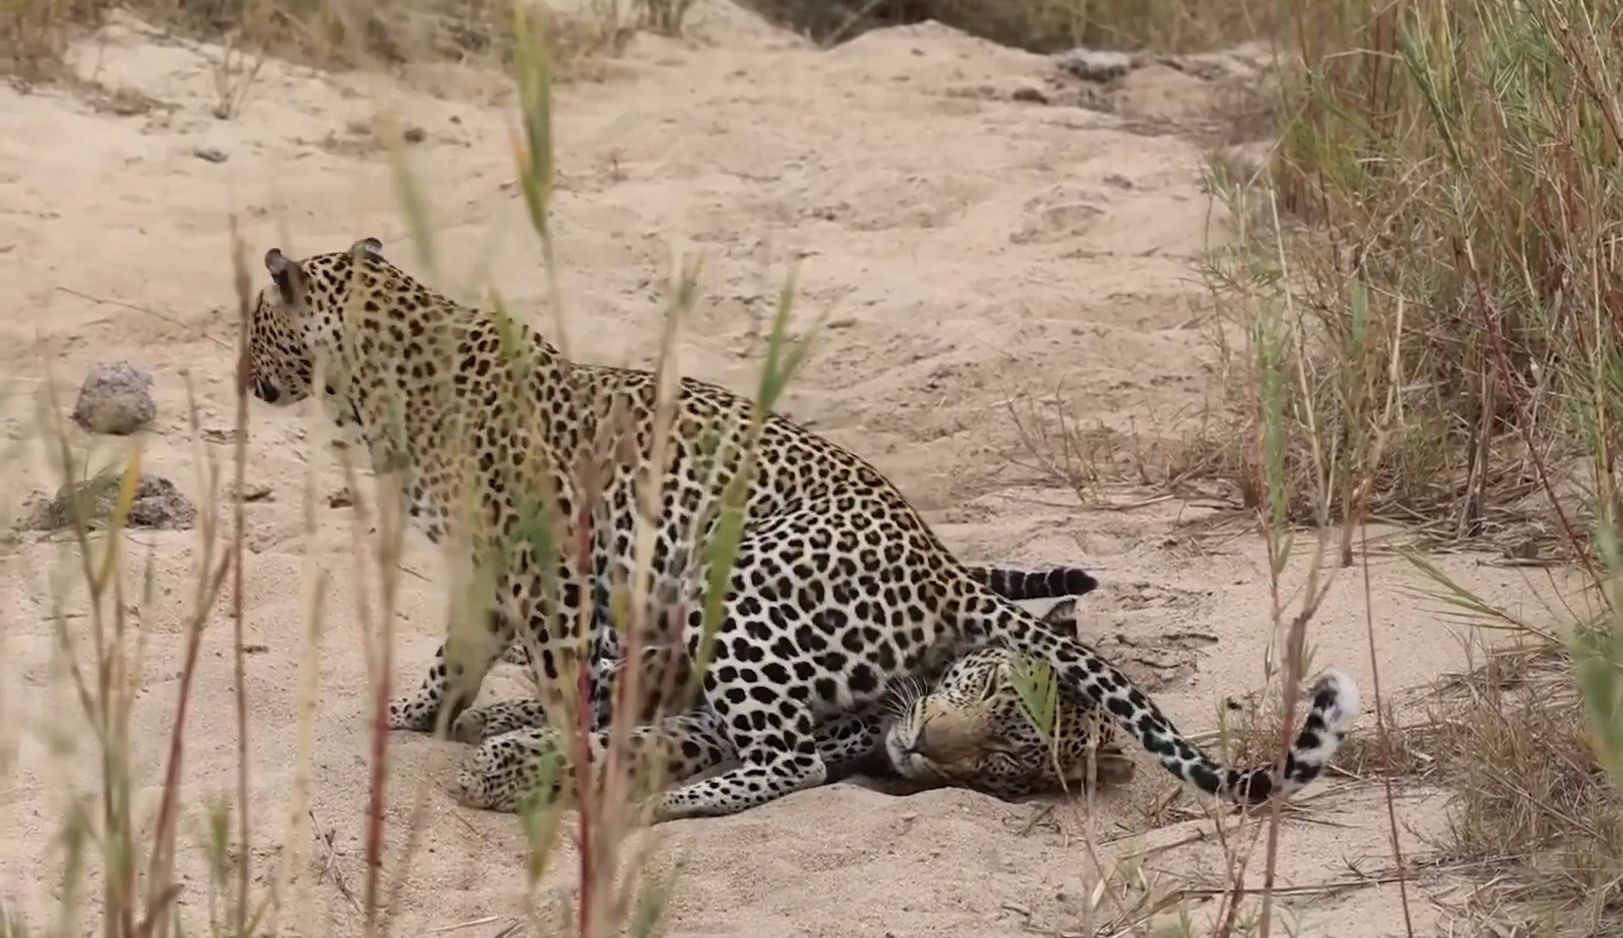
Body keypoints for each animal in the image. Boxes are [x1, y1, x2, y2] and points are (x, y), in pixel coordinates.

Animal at [236, 235, 1356, 817]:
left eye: (253, 324)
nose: (241, 377)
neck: (393, 380)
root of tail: (941, 574)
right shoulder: (495, 573)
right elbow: (461, 654)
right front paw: (419, 713)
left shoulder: (554, 574)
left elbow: (543, 671)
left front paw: (518, 740)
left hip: (735, 588)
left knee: (781, 753)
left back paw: (655, 791)